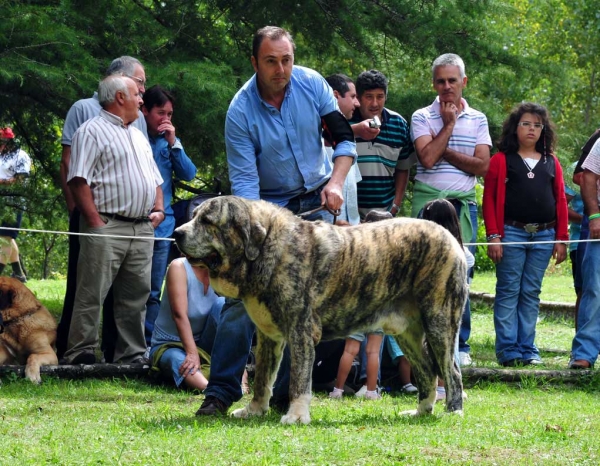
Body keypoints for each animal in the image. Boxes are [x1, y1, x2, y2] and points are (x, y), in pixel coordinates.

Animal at [173, 195, 468, 424]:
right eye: (194, 216)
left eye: (207, 221)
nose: (177, 233)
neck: (266, 249)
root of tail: (449, 237)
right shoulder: (269, 337)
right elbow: (262, 381)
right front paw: (254, 410)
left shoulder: (301, 331)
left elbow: (299, 379)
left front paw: (296, 415)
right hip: (407, 334)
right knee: (428, 371)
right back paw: (420, 411)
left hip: (440, 323)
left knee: (451, 372)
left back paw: (453, 411)